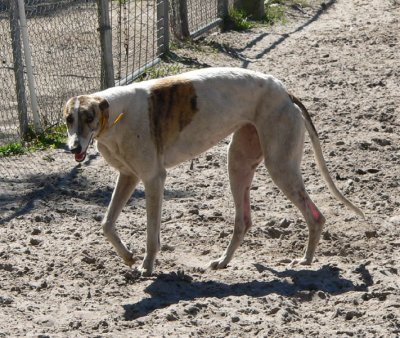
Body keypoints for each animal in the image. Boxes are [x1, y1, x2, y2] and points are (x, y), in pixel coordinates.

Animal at [64, 67, 364, 276]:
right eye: (68, 119)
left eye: (88, 117)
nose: (74, 147)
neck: (116, 113)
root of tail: (284, 92)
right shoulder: (129, 177)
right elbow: (106, 224)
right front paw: (128, 257)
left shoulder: (153, 178)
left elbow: (151, 235)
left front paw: (147, 267)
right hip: (239, 163)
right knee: (243, 221)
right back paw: (223, 261)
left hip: (280, 166)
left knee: (316, 216)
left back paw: (306, 259)